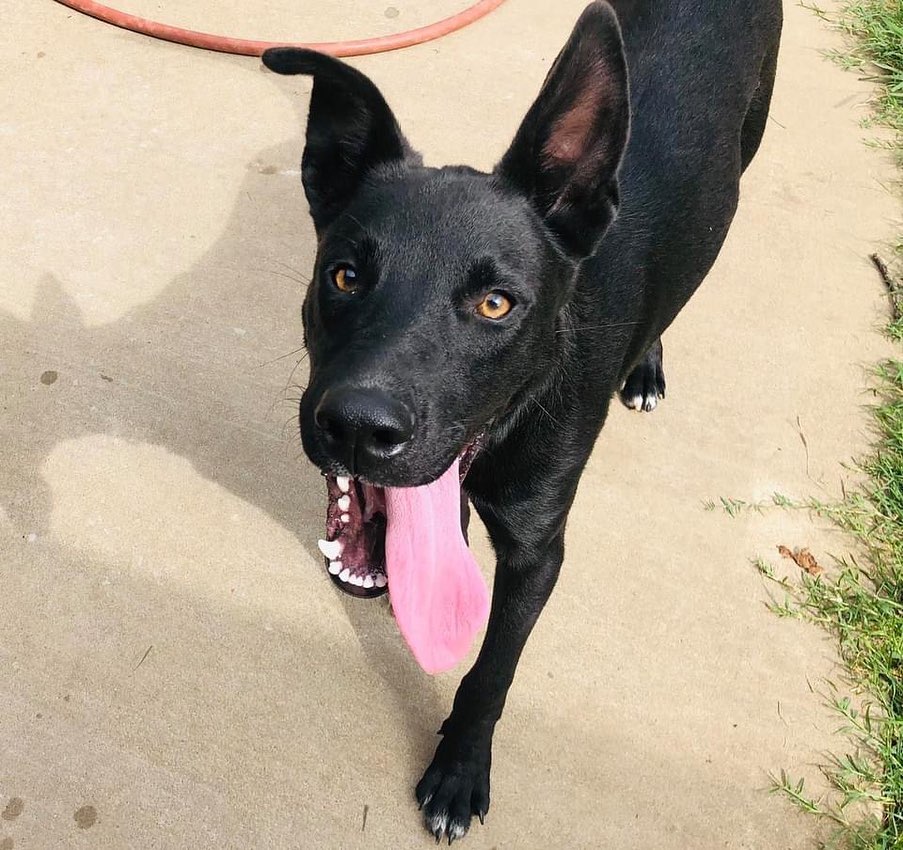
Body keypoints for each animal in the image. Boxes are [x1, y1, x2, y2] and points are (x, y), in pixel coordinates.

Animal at [264, 0, 784, 840]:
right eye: (342, 275)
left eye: (494, 304)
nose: (357, 428)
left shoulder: (539, 550)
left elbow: (491, 670)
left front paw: (457, 771)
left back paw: (646, 365)